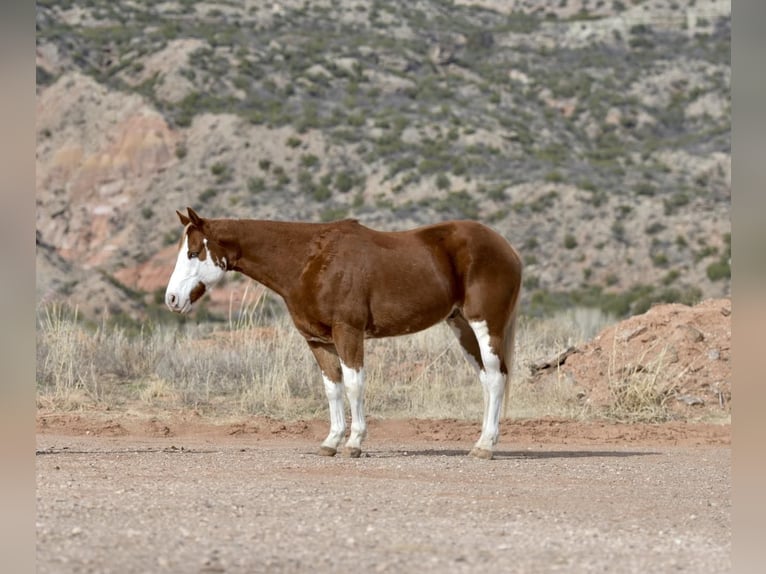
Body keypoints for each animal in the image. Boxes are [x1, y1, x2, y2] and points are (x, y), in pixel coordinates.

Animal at [165, 207, 524, 460]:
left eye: (194, 252)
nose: (171, 299)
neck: (309, 260)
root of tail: (508, 249)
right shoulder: (317, 341)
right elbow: (332, 388)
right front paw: (331, 441)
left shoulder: (348, 332)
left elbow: (353, 385)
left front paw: (354, 443)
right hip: (461, 326)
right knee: (488, 380)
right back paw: (482, 441)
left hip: (485, 325)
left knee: (496, 379)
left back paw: (485, 447)